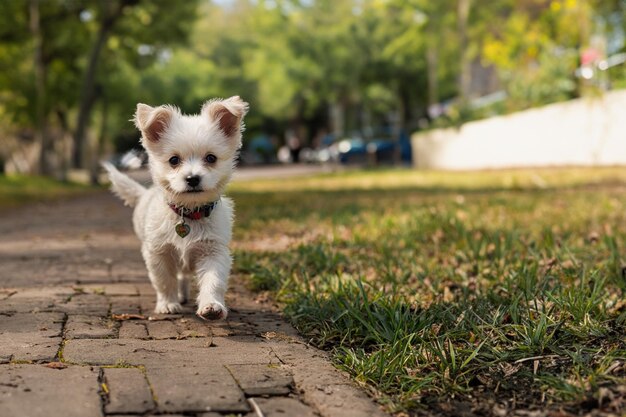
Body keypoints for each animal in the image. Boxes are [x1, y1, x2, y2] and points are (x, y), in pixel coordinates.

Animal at [103, 96, 247, 318]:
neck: (188, 214)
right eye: (174, 160)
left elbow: (213, 280)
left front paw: (212, 305)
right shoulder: (158, 253)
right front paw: (168, 303)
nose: (192, 178)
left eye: (211, 158)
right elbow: (164, 281)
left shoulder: (213, 252)